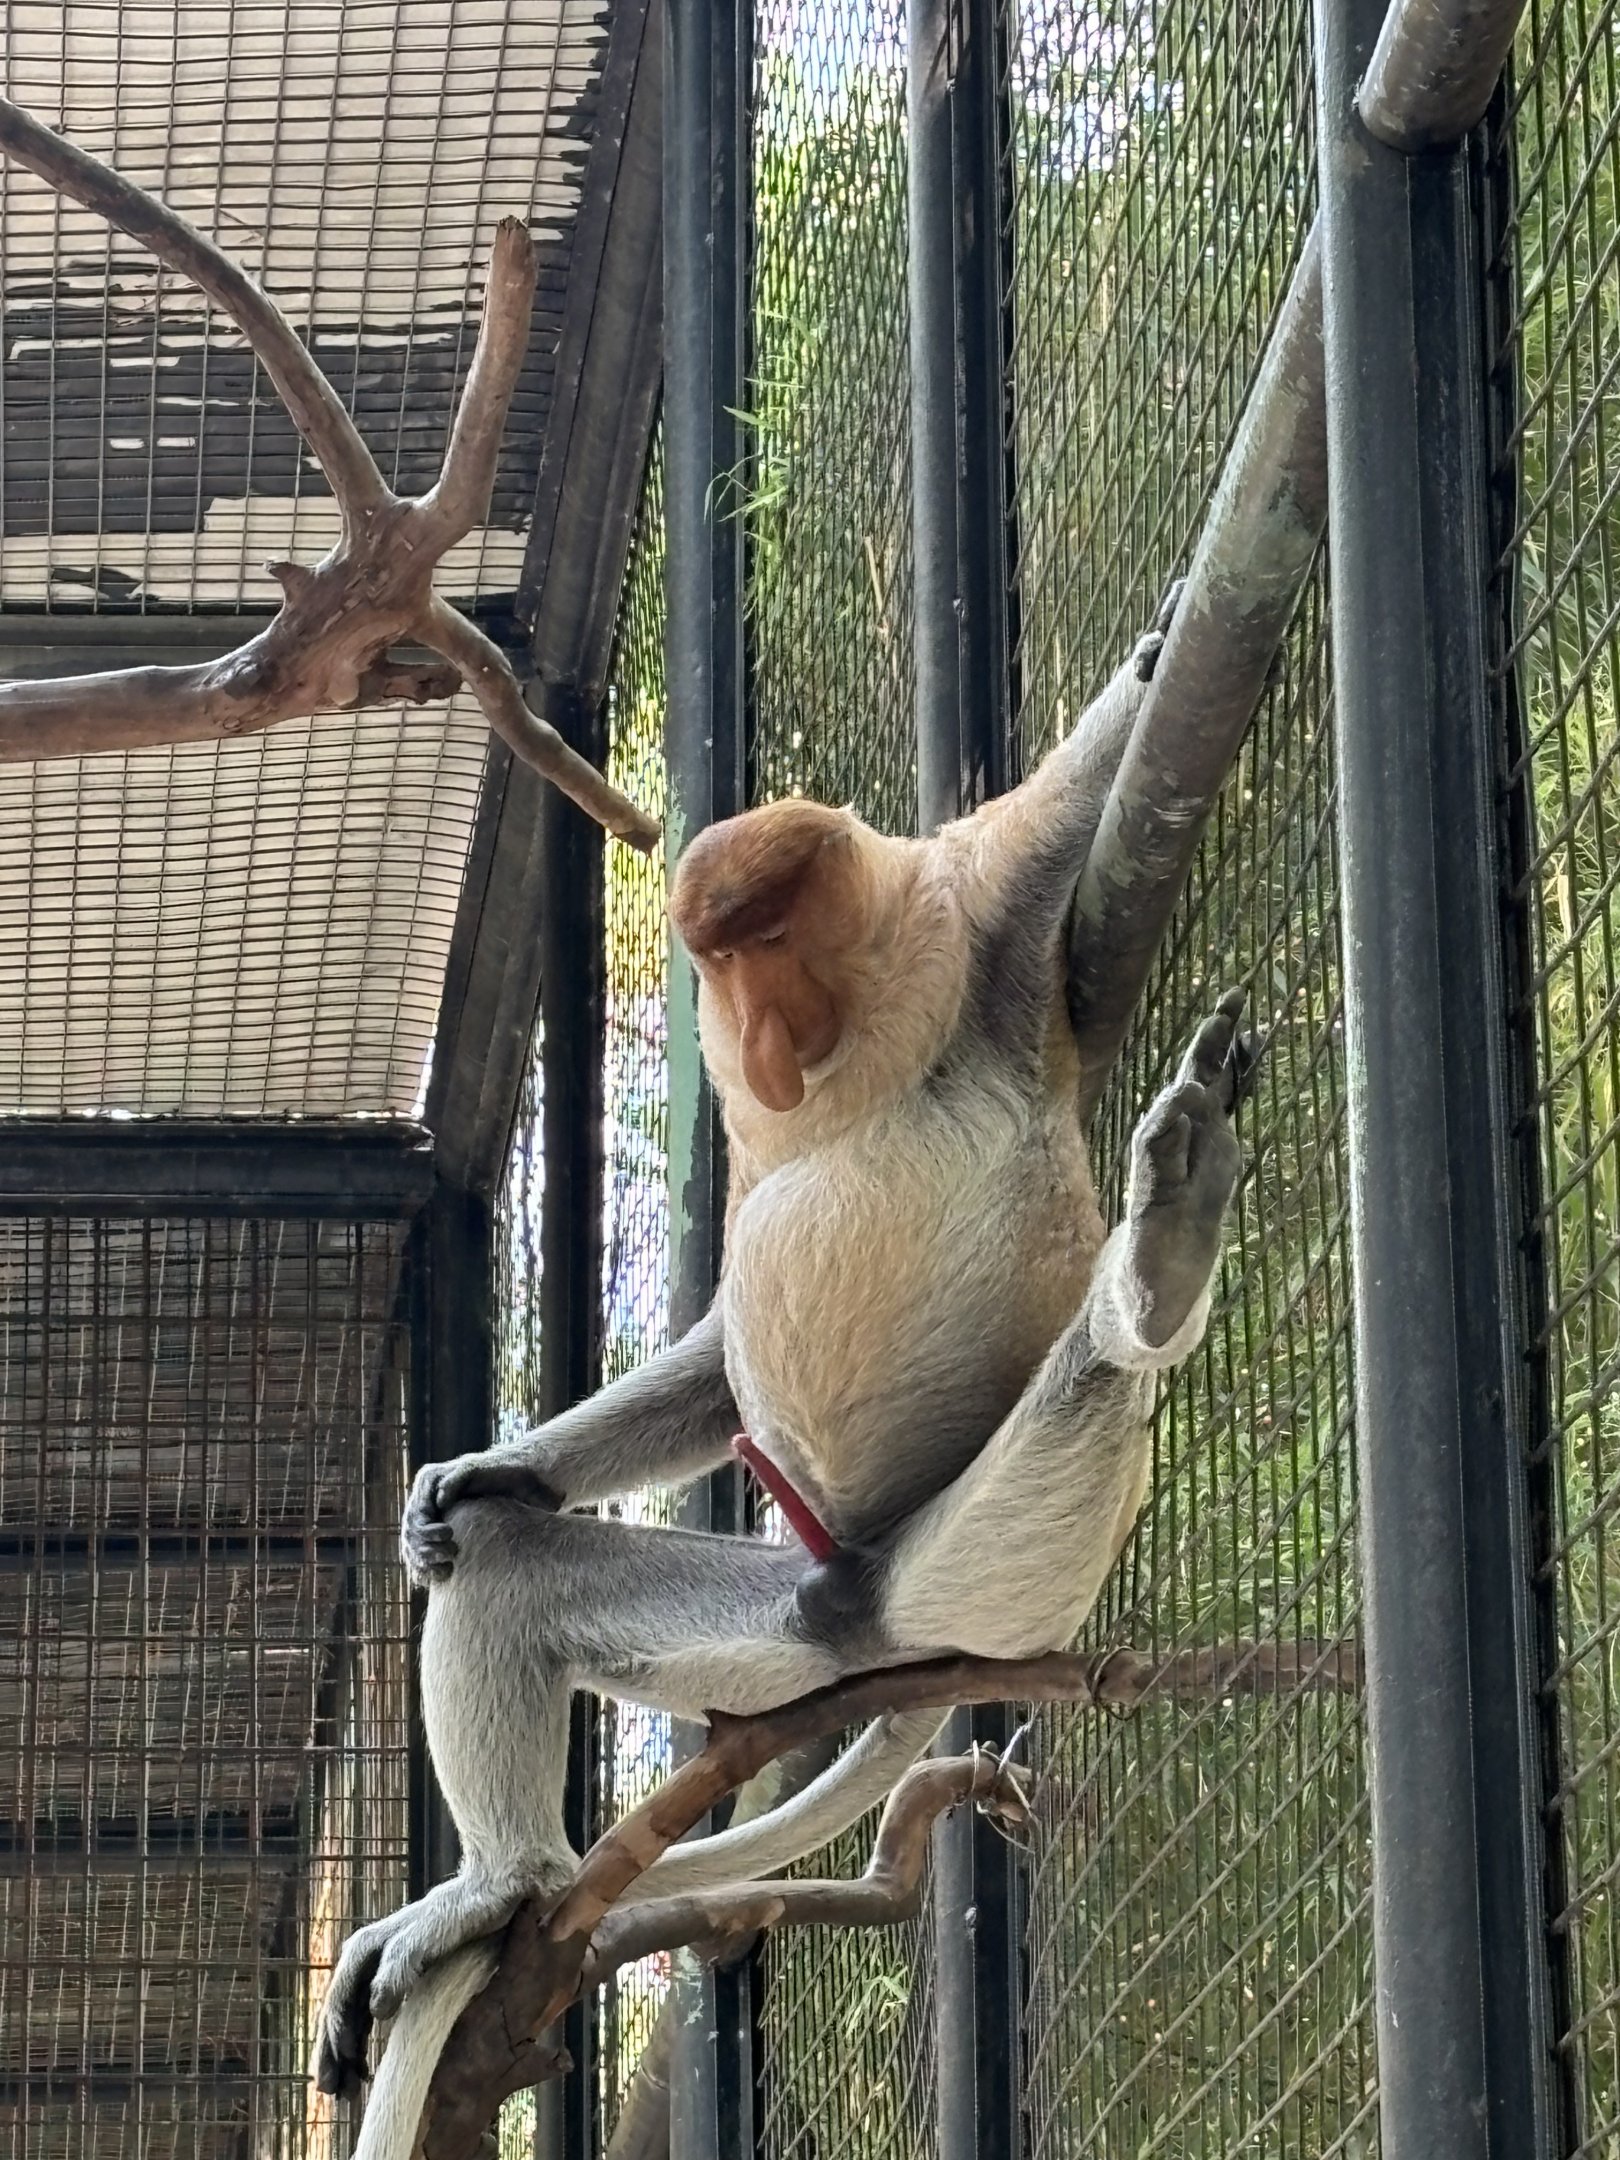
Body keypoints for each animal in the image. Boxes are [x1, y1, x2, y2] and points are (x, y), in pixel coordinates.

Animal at [313, 583, 1252, 2155]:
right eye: (722, 959)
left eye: (774, 937)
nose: (758, 1039)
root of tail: (877, 1613)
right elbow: (716, 1342)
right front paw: (485, 1470)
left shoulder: (978, 894)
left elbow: (1065, 807)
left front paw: (1162, 642)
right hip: (788, 1628)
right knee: (510, 1572)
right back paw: (509, 1875)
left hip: (986, 1572)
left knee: (1087, 1394)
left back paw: (1157, 1266)